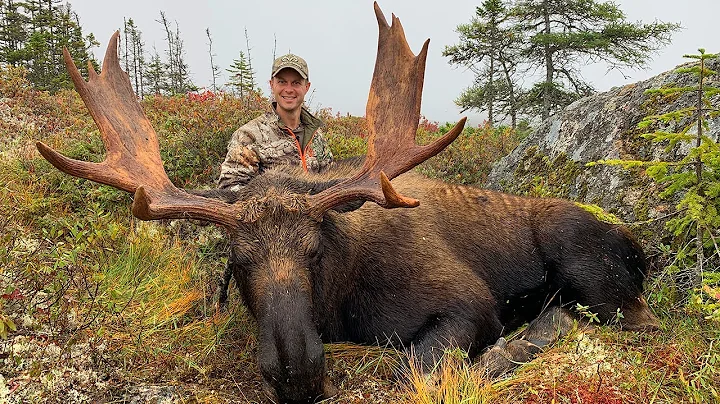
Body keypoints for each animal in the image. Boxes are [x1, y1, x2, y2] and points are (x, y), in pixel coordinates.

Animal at [36, 3, 659, 403]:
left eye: (315, 251)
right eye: (239, 263)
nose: (296, 372)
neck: (344, 299)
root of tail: (641, 249)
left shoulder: (470, 302)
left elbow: (416, 366)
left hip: (586, 265)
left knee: (628, 322)